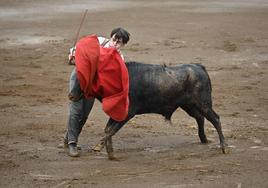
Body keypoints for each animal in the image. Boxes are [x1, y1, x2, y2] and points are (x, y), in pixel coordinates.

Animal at [93, 61, 227, 159]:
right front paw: (109, 153)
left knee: (215, 119)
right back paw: (204, 140)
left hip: (203, 104)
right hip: (188, 105)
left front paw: (99, 147)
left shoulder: (127, 113)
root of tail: (199, 66)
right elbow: (108, 129)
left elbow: (111, 130)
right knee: (200, 117)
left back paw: (223, 147)